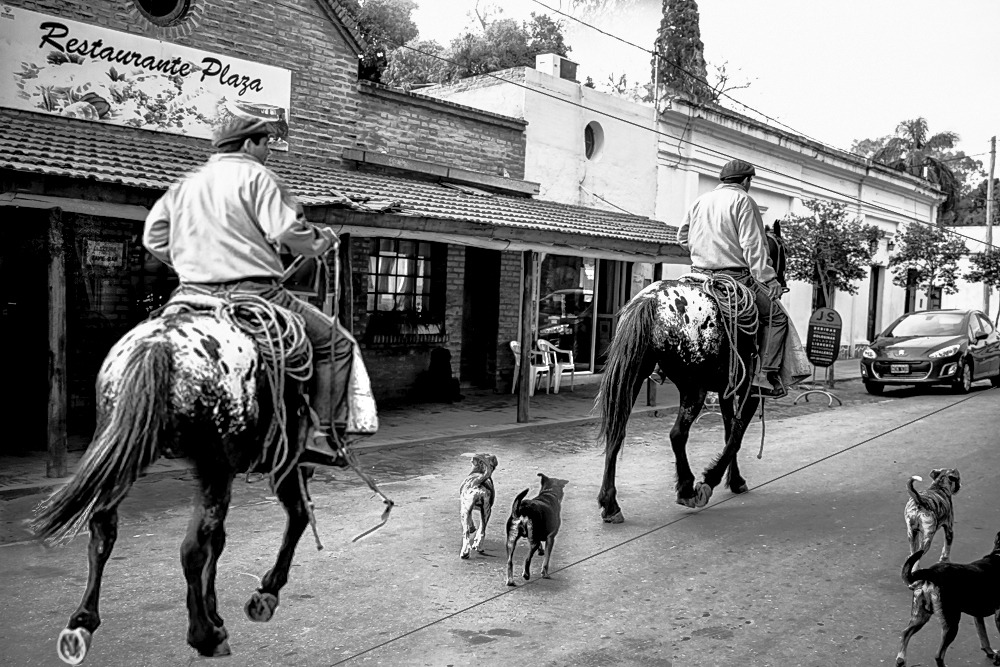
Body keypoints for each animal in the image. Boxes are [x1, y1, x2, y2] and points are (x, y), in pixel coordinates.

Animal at [596, 232, 784, 524]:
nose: (781, 286)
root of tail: (652, 300)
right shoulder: (749, 391)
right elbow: (737, 435)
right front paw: (711, 479)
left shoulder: (727, 391)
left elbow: (729, 431)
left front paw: (735, 480)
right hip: (693, 389)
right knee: (677, 434)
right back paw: (687, 489)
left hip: (634, 378)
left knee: (617, 431)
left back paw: (610, 503)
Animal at [900, 532, 1000, 667]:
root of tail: (933, 572)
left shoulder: (978, 616)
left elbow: (984, 637)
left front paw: (991, 653)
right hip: (952, 624)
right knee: (938, 655)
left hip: (920, 617)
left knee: (905, 633)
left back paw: (900, 660)